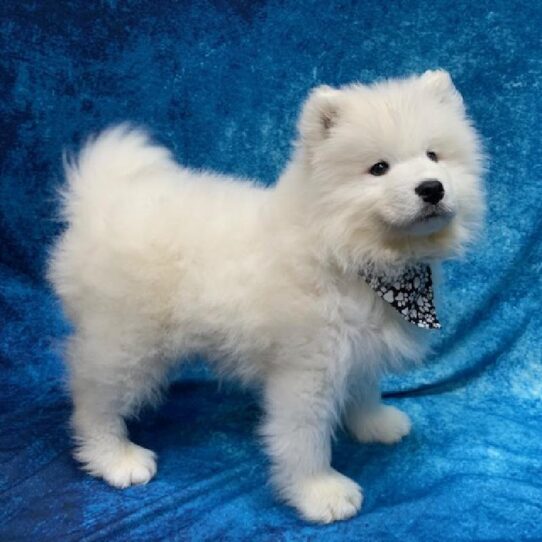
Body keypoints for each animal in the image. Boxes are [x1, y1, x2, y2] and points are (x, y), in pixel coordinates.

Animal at [49, 69, 486, 524]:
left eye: (434, 155)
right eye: (379, 168)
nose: (431, 188)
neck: (349, 255)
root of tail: (101, 203)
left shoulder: (356, 347)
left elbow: (364, 388)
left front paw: (375, 424)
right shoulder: (307, 369)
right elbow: (304, 437)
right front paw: (320, 492)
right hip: (126, 341)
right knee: (94, 396)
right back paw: (116, 457)